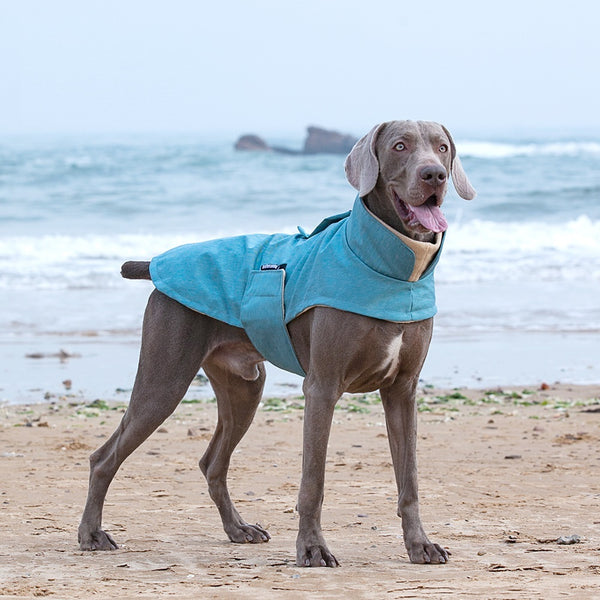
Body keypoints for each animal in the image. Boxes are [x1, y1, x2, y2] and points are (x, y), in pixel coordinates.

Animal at [77, 119, 476, 564]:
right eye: (400, 146)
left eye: (442, 148)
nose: (435, 175)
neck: (391, 269)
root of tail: (155, 263)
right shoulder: (322, 388)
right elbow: (313, 481)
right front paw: (313, 548)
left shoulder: (403, 392)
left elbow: (410, 480)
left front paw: (420, 544)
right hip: (164, 379)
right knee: (104, 457)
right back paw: (92, 534)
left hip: (244, 386)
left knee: (212, 462)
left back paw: (238, 528)